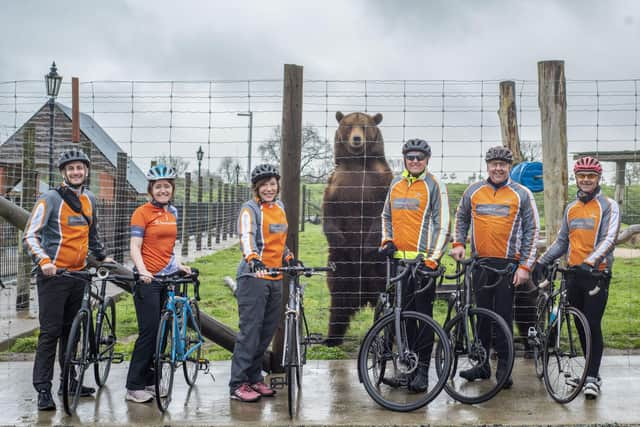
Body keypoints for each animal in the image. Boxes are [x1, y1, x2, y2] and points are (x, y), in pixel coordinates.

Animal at [322, 111, 392, 348]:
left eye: (364, 126)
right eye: (348, 125)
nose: (356, 139)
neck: (357, 163)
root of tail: (364, 295)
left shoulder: (379, 182)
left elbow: (381, 216)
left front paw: (368, 245)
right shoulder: (336, 184)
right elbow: (329, 213)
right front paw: (340, 239)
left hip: (381, 269)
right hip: (341, 267)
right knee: (338, 300)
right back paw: (331, 337)